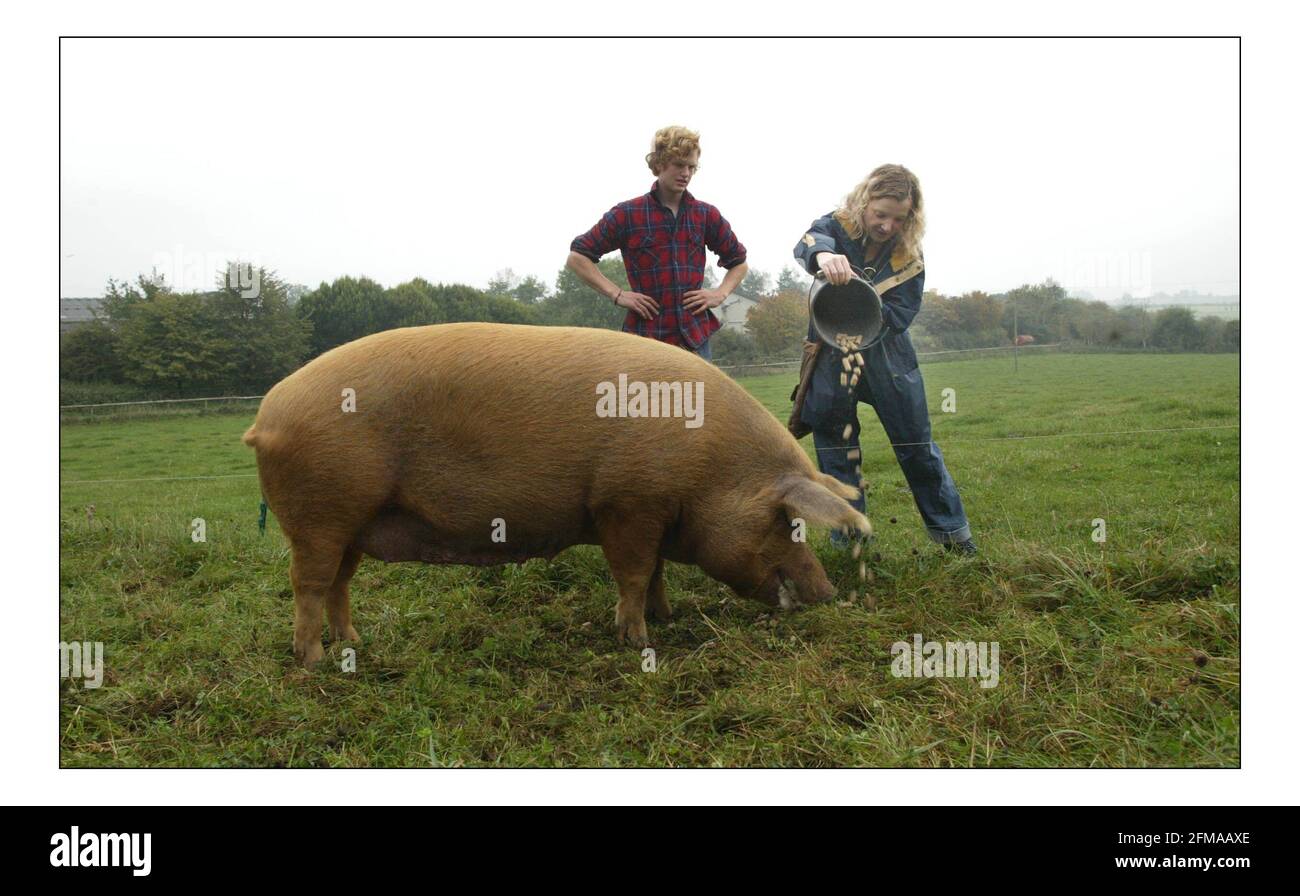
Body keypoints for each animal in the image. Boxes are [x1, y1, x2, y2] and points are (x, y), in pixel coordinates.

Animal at [244, 321, 873, 663]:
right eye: (789, 522)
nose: (828, 593)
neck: (711, 468)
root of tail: (266, 415)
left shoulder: (648, 511)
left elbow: (654, 572)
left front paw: (666, 617)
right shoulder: (625, 504)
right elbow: (633, 573)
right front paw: (638, 639)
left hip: (351, 525)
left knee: (338, 586)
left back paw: (355, 642)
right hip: (320, 515)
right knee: (308, 585)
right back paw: (315, 661)